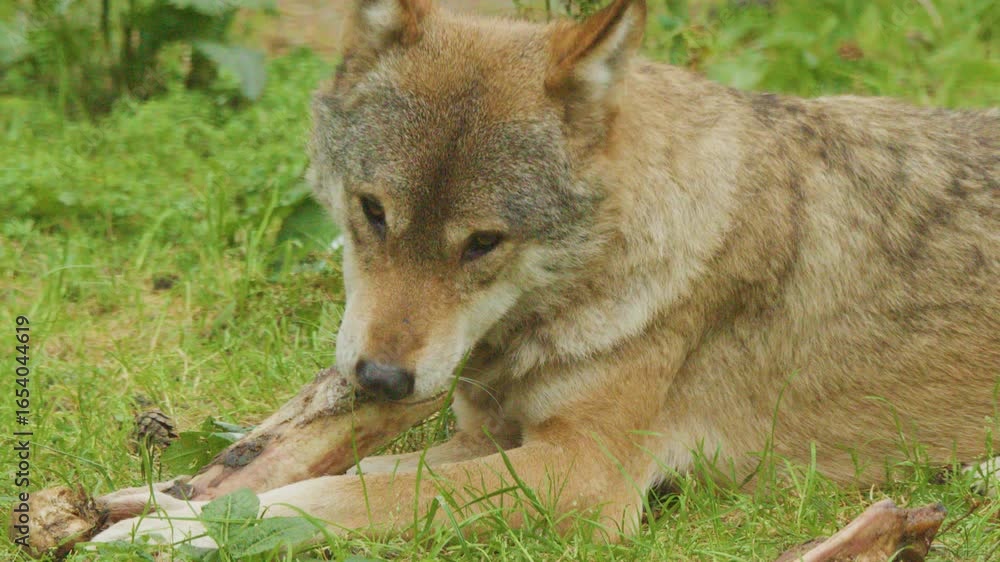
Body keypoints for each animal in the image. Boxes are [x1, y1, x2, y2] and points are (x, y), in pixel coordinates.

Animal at [94, 0, 998, 549]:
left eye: (484, 243)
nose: (381, 381)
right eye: (373, 211)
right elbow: (360, 472)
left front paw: (169, 534)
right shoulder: (484, 437)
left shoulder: (584, 474)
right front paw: (157, 501)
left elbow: (353, 497)